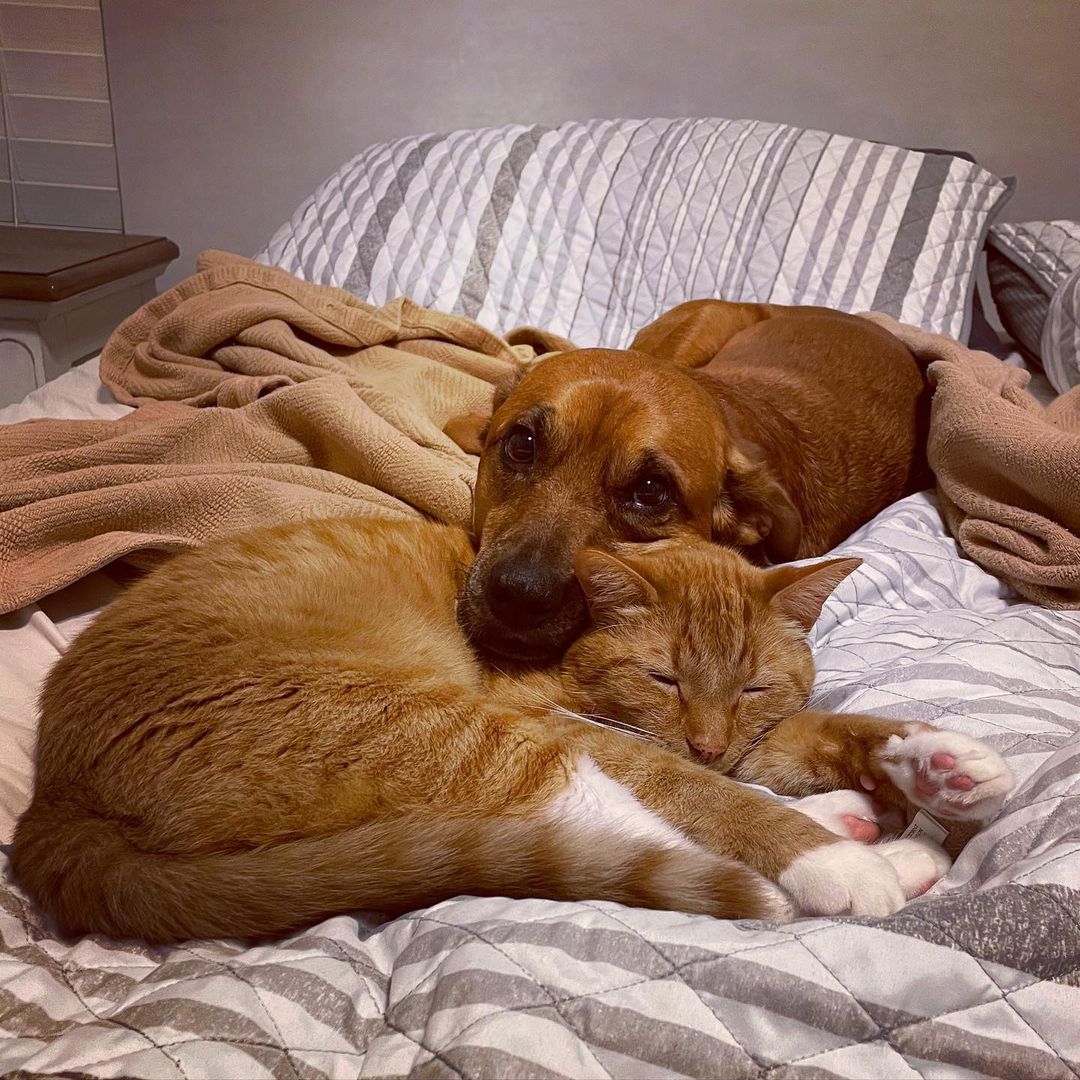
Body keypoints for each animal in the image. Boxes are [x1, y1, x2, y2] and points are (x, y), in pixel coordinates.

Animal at [14, 518, 946, 941]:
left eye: (752, 686)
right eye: (664, 678)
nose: (710, 741)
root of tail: (53, 799)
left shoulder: (753, 736)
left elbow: (814, 735)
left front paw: (933, 757)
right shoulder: (545, 715)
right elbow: (695, 790)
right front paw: (828, 858)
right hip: (445, 730)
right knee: (609, 828)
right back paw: (863, 860)